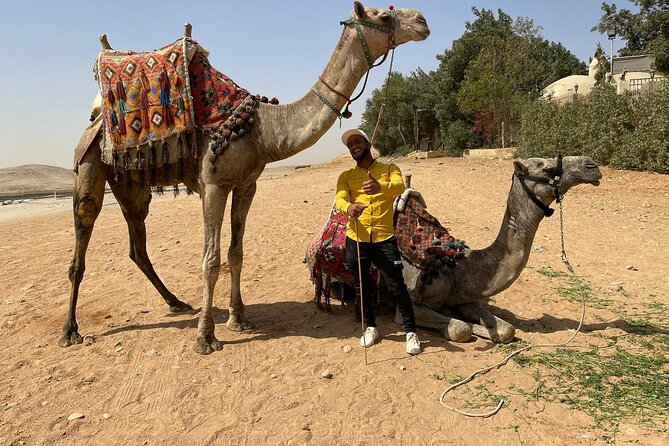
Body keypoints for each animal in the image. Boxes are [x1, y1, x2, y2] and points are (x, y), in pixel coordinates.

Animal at [59, 2, 430, 354]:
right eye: (383, 17)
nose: (423, 21)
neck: (262, 130)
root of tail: (96, 116)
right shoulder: (213, 185)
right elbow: (211, 259)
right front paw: (206, 337)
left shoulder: (246, 185)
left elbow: (236, 253)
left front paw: (238, 319)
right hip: (89, 163)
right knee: (84, 227)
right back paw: (69, 330)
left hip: (132, 185)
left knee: (138, 243)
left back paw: (177, 302)